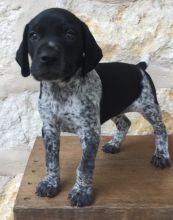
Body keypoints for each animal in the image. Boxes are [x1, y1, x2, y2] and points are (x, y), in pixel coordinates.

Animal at [15, 7, 170, 207]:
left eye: (69, 34)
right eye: (33, 35)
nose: (48, 57)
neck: (61, 89)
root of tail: (139, 67)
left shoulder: (90, 132)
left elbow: (84, 166)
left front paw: (81, 192)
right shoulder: (49, 128)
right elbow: (51, 160)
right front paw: (50, 183)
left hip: (149, 106)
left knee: (161, 129)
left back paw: (161, 155)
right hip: (114, 107)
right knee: (125, 123)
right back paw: (114, 144)